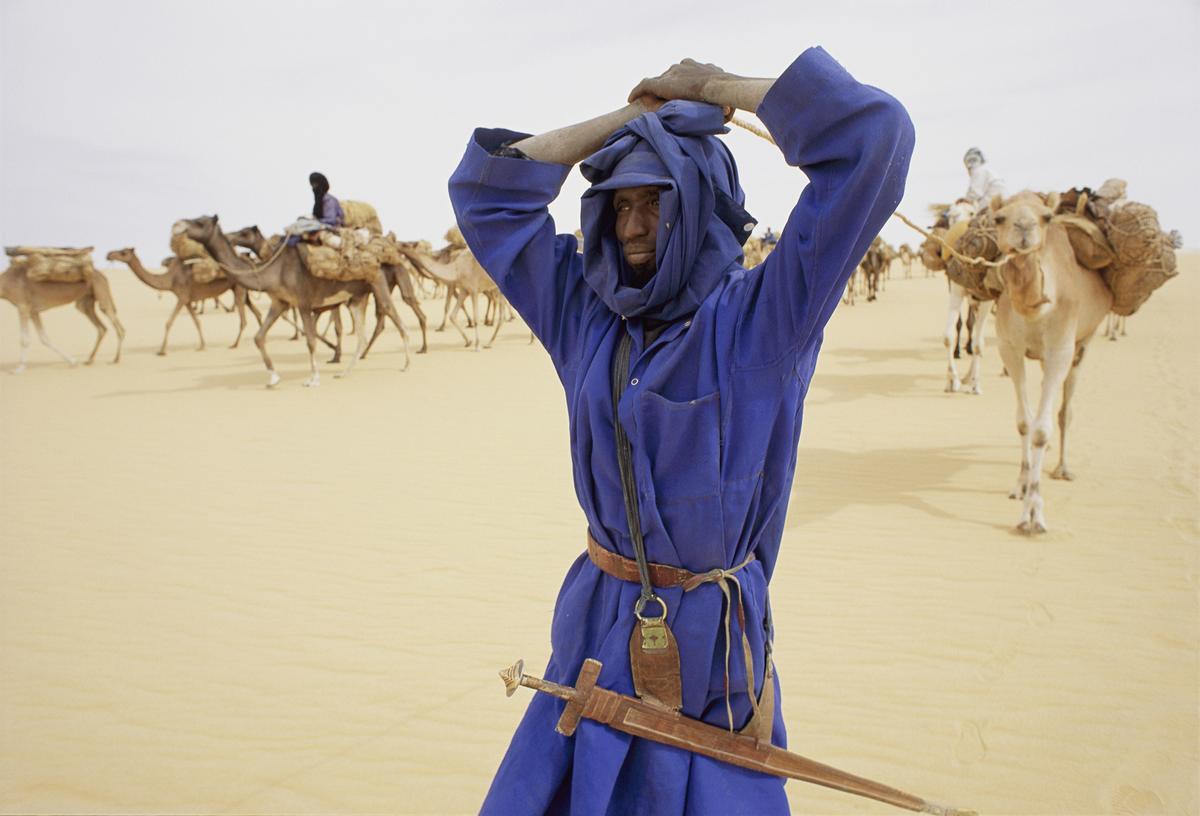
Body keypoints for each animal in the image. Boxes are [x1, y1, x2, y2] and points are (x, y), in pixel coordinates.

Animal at [106, 246, 264, 352]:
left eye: (123, 252)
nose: (109, 254)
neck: (170, 279)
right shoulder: (187, 300)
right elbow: (197, 322)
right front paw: (201, 346)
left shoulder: (181, 297)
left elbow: (169, 322)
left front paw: (162, 351)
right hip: (243, 291)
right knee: (257, 312)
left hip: (239, 289)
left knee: (243, 320)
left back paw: (235, 344)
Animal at [178, 213, 412, 386]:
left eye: (200, 221)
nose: (179, 225)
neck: (273, 269)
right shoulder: (280, 302)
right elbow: (259, 337)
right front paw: (273, 378)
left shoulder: (303, 302)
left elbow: (310, 340)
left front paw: (313, 379)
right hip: (357, 297)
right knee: (362, 335)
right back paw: (344, 373)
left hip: (378, 282)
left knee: (397, 319)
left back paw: (407, 365)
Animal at [988, 192, 1108, 535]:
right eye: (999, 217)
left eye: (1046, 217)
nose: (1024, 228)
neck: (1034, 310)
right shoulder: (1009, 347)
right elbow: (1024, 423)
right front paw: (1022, 487)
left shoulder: (1061, 349)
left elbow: (1042, 430)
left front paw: (1034, 515)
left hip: (1083, 343)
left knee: (1065, 411)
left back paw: (1063, 468)